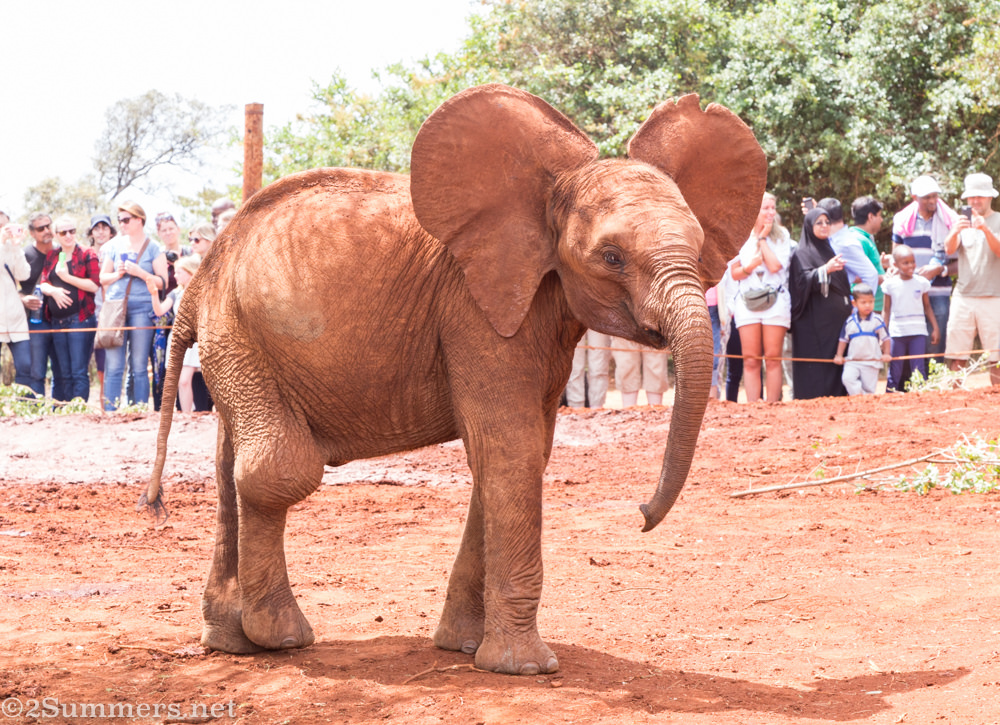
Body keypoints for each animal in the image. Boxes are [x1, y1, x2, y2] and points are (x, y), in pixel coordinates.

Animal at [141, 83, 766, 675]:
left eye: (698, 247)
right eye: (611, 257)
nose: (639, 515)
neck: (547, 194)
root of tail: (200, 276)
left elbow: (514, 456)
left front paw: (463, 647)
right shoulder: (472, 306)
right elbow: (510, 448)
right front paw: (525, 668)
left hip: (237, 342)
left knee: (229, 462)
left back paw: (231, 642)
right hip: (239, 332)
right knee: (277, 469)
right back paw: (281, 637)